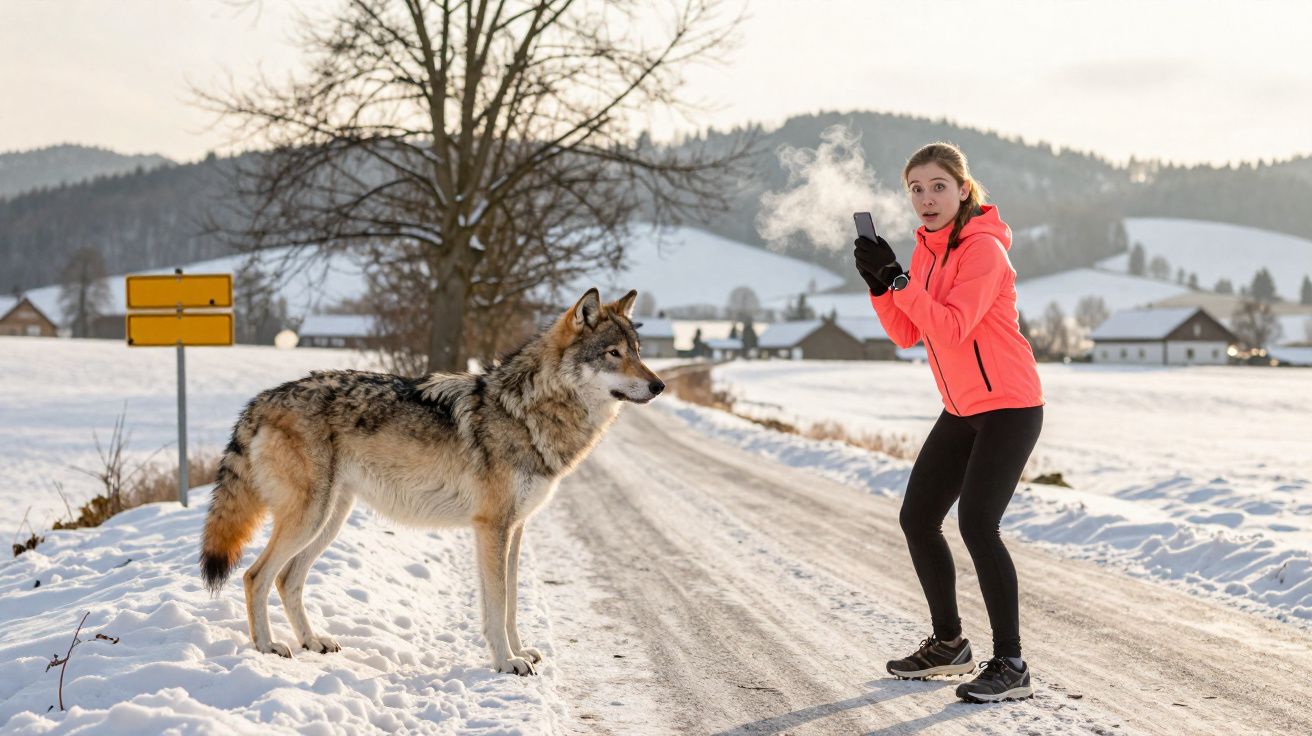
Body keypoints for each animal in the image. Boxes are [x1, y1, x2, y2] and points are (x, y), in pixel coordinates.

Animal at [199, 288, 663, 675]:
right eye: (613, 353)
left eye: (638, 352)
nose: (659, 385)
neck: (527, 410)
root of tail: (262, 399)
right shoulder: (492, 528)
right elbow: (498, 604)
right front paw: (506, 662)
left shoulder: (515, 529)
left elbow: (512, 603)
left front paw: (519, 651)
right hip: (310, 518)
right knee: (255, 576)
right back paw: (267, 647)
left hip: (329, 519)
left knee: (287, 579)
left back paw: (312, 641)